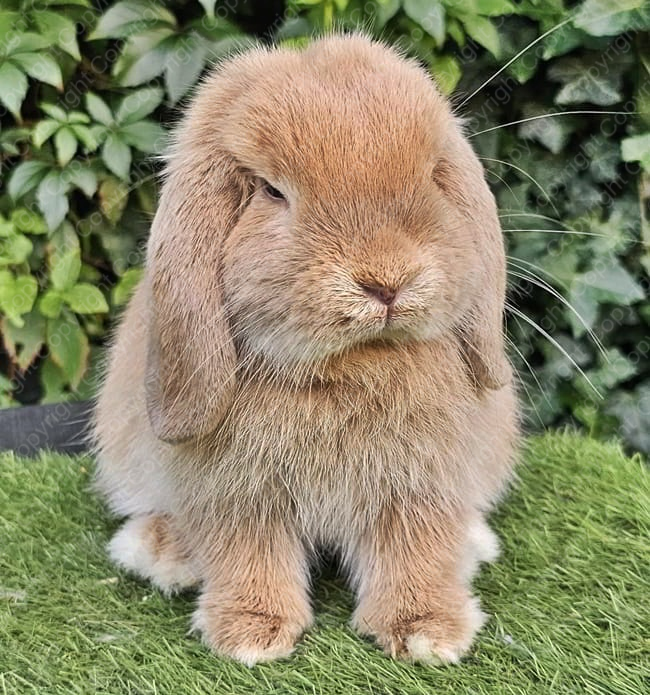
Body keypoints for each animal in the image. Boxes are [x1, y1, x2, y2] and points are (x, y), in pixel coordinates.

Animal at [93, 33, 519, 666]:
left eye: (431, 176)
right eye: (272, 191)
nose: (386, 280)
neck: (351, 362)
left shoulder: (423, 482)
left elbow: (416, 548)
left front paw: (427, 632)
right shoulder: (237, 494)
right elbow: (249, 553)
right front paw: (251, 634)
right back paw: (163, 552)